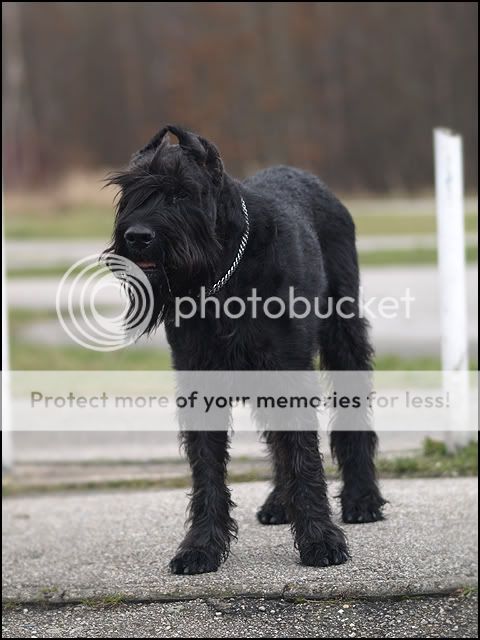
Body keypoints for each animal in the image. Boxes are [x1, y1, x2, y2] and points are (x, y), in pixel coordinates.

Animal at [108, 124, 386, 574]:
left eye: (182, 193)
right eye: (130, 192)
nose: (137, 237)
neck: (222, 276)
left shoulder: (287, 370)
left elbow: (302, 456)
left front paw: (320, 540)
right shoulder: (200, 378)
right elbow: (207, 469)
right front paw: (201, 546)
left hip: (343, 334)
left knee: (349, 414)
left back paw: (362, 498)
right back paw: (279, 503)